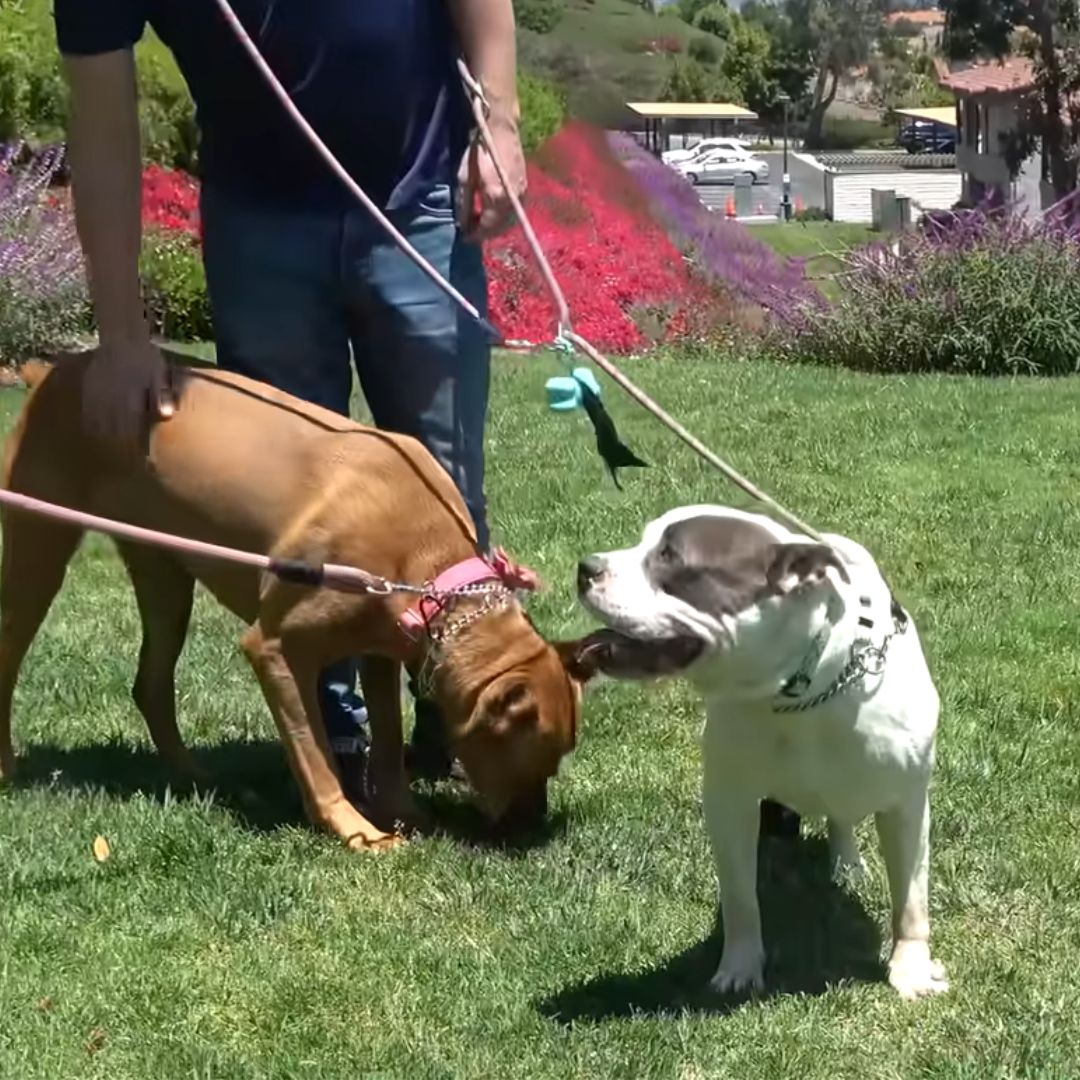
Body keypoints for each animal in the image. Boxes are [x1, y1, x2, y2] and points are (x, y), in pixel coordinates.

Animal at [0, 354, 604, 851]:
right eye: (533, 757)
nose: (533, 829)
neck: (427, 570)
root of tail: (52, 370)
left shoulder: (384, 646)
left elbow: (387, 737)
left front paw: (402, 810)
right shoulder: (274, 649)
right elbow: (313, 751)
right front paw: (355, 828)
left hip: (163, 573)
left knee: (150, 683)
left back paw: (195, 777)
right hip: (37, 548)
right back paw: (8, 769)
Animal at [578, 501, 950, 997]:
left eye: (670, 557)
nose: (586, 567)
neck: (800, 692)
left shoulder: (906, 804)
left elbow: (911, 898)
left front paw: (911, 969)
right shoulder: (729, 802)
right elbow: (740, 899)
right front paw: (739, 968)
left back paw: (847, 863)